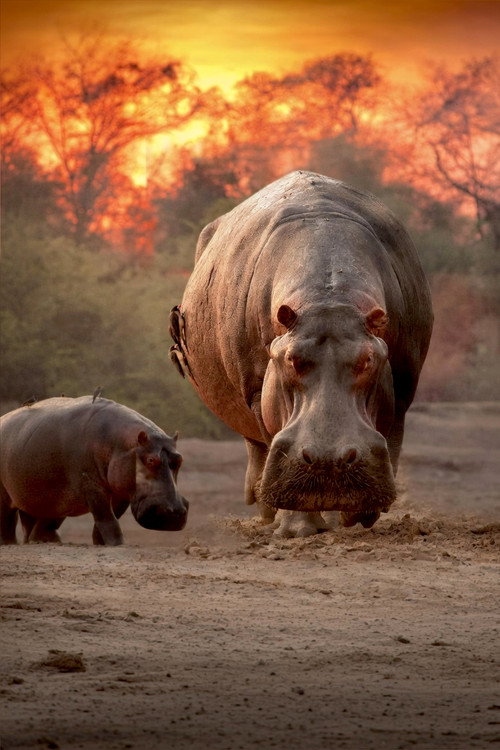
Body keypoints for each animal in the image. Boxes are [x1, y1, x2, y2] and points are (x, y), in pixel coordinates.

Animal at [0, 396, 188, 545]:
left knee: (36, 522)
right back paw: (10, 543)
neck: (121, 443)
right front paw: (117, 544)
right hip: (9, 495)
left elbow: (110, 518)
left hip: (44, 498)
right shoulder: (92, 487)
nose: (174, 512)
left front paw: (100, 543)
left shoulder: (121, 491)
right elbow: (106, 517)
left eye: (180, 459)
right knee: (7, 521)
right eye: (151, 460)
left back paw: (45, 540)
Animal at [170, 171, 433, 537]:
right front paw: (298, 529)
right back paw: (268, 511)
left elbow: (389, 442)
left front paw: (359, 514)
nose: (328, 460)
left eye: (368, 359)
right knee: (257, 449)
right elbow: (272, 436)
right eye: (290, 359)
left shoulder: (403, 388)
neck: (328, 298)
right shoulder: (258, 389)